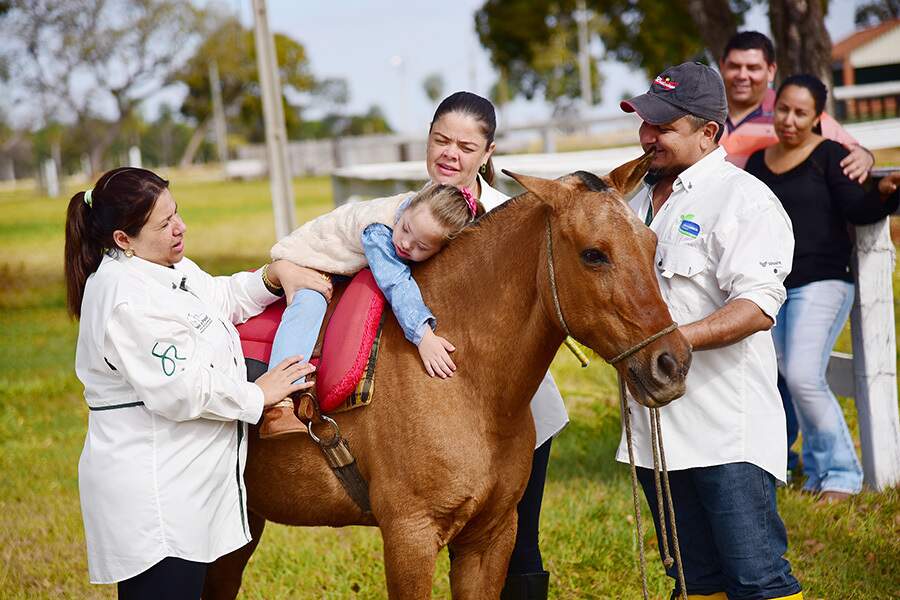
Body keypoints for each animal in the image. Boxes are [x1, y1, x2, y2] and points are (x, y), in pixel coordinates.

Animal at [204, 152, 692, 596]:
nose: (672, 363)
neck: (468, 385)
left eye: (651, 244)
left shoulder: (490, 538)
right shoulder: (410, 538)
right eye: (594, 255)